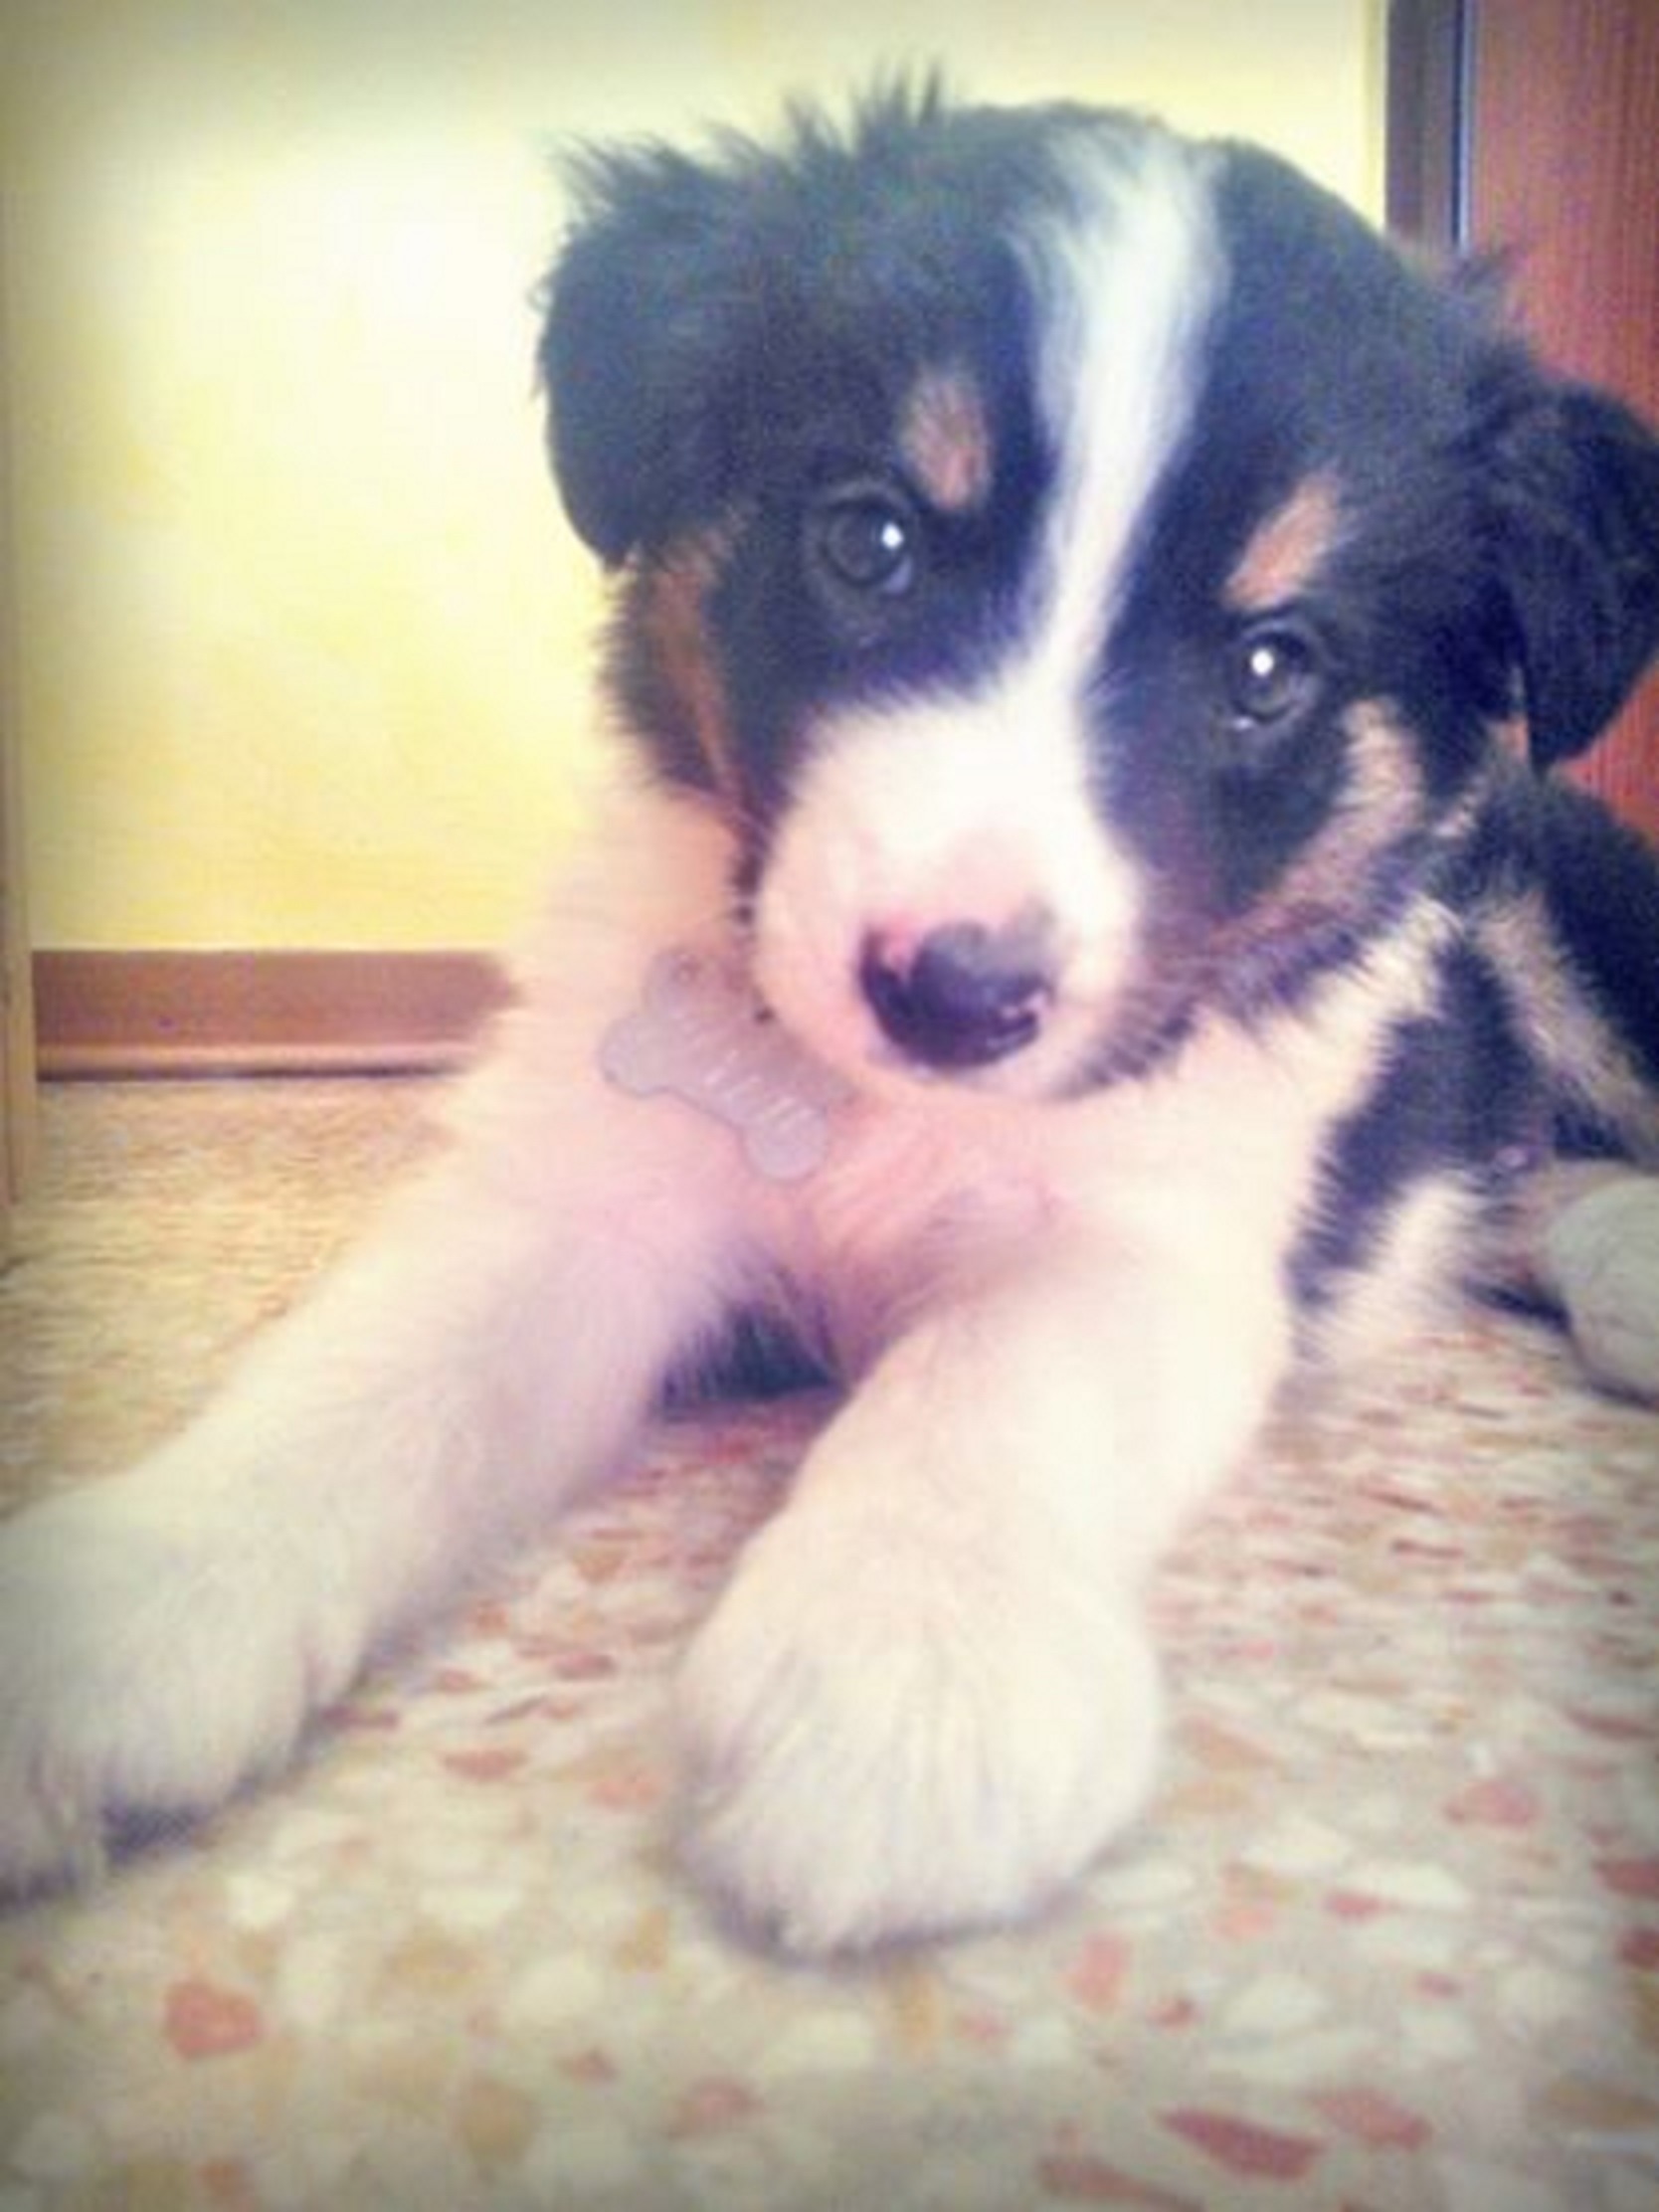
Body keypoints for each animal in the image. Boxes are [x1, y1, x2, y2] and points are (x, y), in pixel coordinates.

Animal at [3, 84, 1658, 1956]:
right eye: (871, 540)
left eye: (1266, 666)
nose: (955, 994)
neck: (872, 1109)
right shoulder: (583, 1180)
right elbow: (370, 1375)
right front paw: (132, 1600)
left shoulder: (1151, 1235)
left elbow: (986, 1380)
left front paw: (911, 1681)